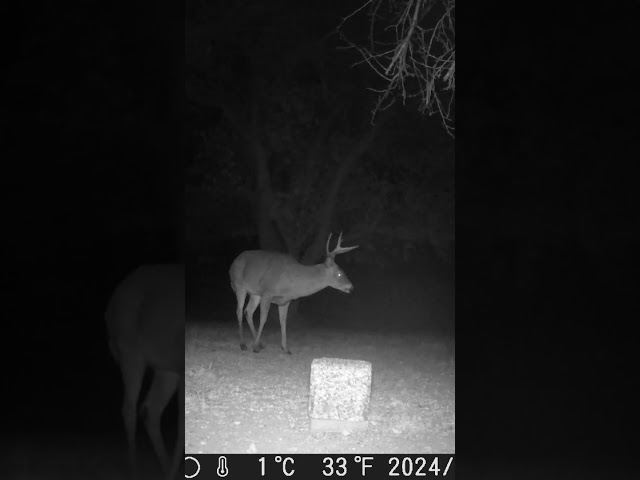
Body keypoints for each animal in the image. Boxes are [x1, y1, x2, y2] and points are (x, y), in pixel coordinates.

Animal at [230, 232, 360, 352]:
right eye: (339, 274)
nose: (351, 288)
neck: (292, 282)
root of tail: (233, 264)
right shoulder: (267, 292)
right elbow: (263, 319)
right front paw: (255, 347)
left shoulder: (285, 300)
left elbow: (283, 321)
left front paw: (285, 348)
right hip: (239, 286)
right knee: (240, 311)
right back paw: (243, 344)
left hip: (255, 293)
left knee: (248, 311)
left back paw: (259, 343)